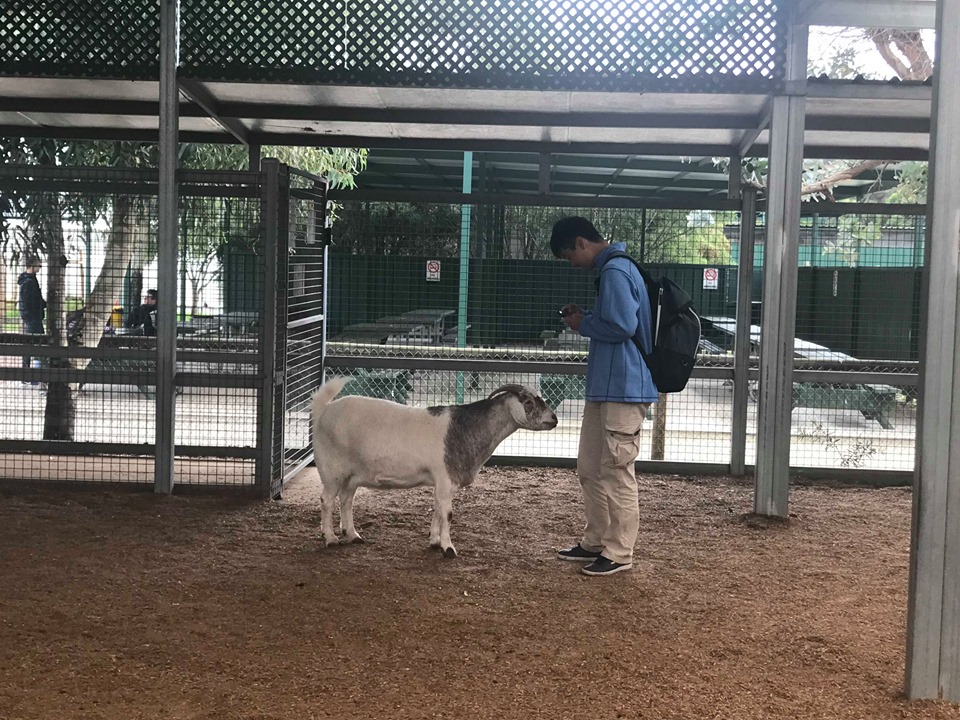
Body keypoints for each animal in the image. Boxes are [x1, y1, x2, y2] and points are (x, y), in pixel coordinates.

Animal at [310, 377, 558, 558]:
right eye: (527, 401)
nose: (554, 419)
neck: (465, 428)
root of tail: (324, 409)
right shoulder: (445, 478)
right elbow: (447, 513)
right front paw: (448, 549)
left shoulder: (443, 482)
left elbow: (438, 510)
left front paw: (435, 541)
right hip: (331, 469)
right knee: (327, 500)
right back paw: (330, 538)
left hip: (352, 474)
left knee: (346, 499)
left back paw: (352, 534)